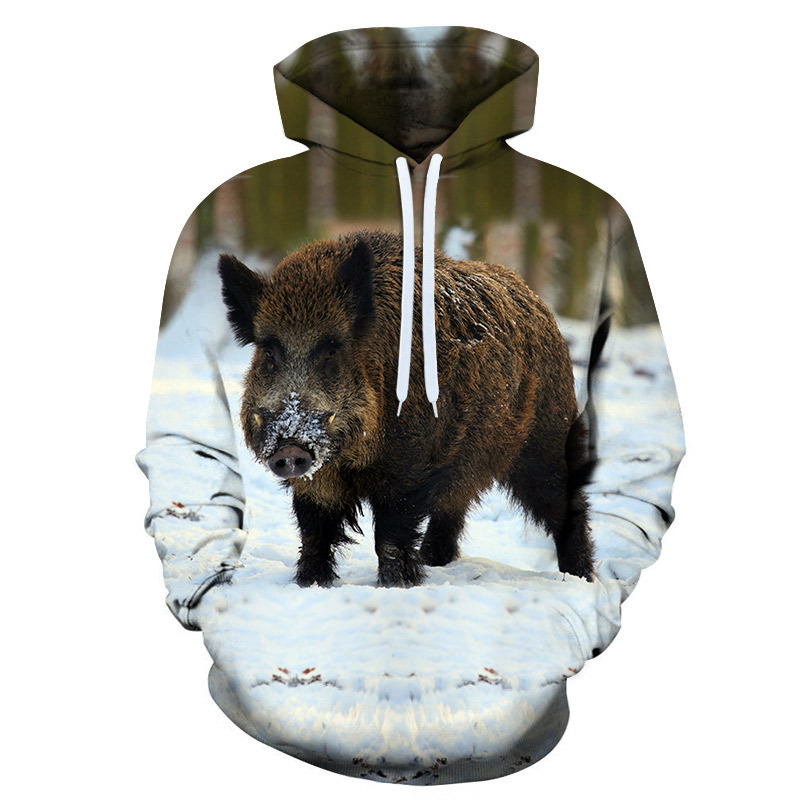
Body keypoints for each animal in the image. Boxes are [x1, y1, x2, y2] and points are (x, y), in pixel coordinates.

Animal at [218, 228, 594, 588]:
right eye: (269, 351)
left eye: (331, 350)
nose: (290, 447)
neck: (351, 458)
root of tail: (538, 304)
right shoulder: (317, 480)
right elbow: (314, 533)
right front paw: (310, 584)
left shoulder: (408, 466)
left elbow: (390, 536)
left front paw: (396, 586)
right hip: (468, 463)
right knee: (454, 505)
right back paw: (435, 561)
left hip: (546, 439)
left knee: (568, 505)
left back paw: (581, 578)